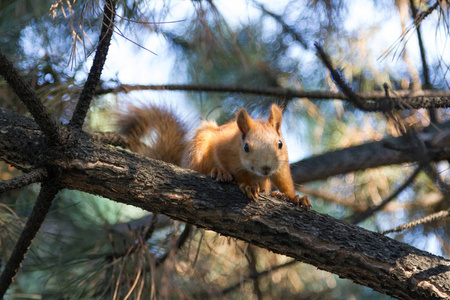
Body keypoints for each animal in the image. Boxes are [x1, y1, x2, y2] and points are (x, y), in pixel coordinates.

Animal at [118, 103, 312, 209]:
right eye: (246, 147)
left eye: (280, 143)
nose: (265, 168)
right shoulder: (224, 150)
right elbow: (237, 170)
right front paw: (247, 185)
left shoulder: (281, 162)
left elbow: (283, 178)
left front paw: (294, 197)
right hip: (200, 146)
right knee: (198, 169)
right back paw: (219, 173)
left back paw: (274, 194)